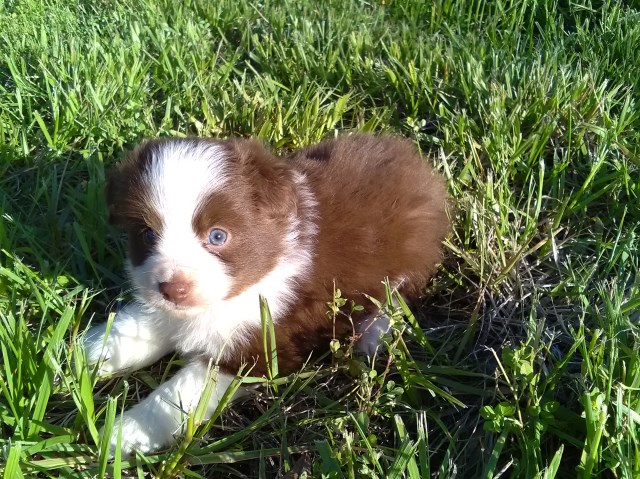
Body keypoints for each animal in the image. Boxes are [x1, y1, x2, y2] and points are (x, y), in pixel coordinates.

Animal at [82, 134, 448, 454]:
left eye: (217, 236)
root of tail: (418, 166)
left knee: (400, 293)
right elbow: (138, 326)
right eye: (147, 234)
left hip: (412, 253)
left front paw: (124, 432)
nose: (174, 288)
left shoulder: (258, 345)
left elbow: (179, 393)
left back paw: (372, 335)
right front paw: (88, 352)